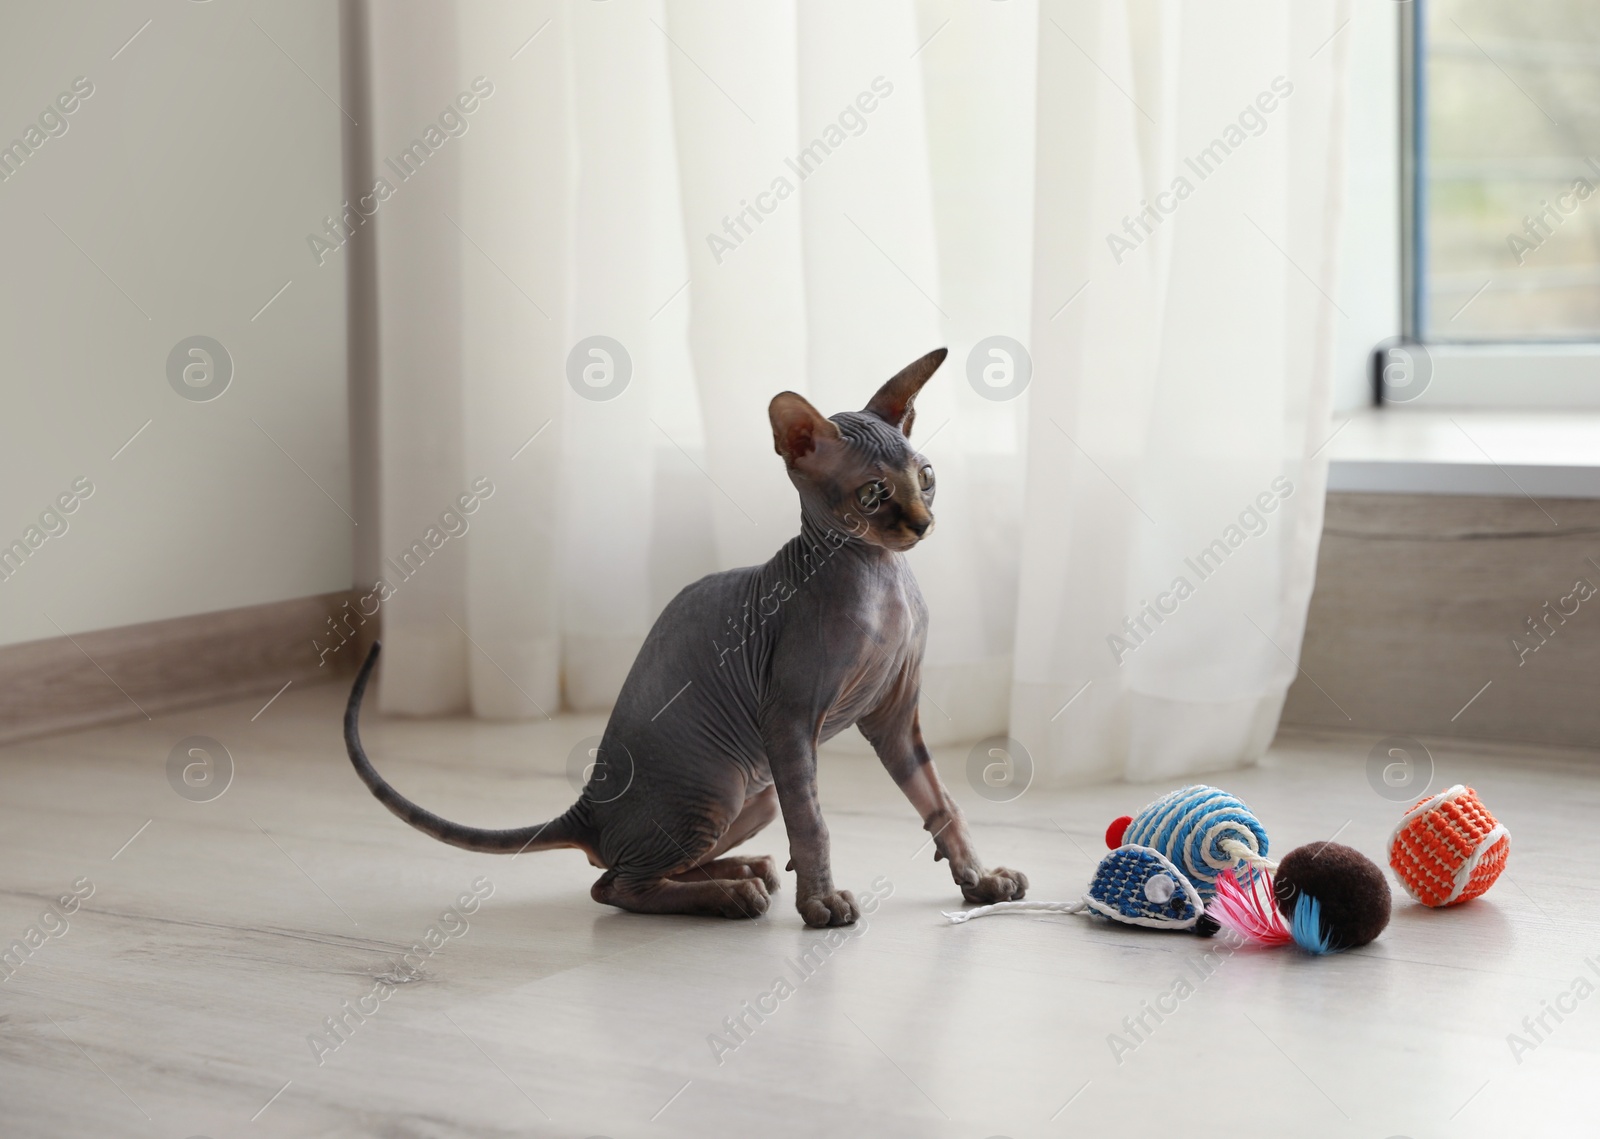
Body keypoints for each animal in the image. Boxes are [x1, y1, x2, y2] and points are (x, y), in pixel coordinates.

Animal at [344, 347, 1030, 927]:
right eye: (873, 493)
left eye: (927, 476)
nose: (922, 522)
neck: (881, 578)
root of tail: (588, 808)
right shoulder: (789, 719)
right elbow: (814, 823)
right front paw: (821, 903)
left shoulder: (893, 715)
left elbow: (941, 802)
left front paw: (980, 880)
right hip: (722, 783)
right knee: (615, 885)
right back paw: (732, 895)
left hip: (757, 791)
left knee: (632, 870)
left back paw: (746, 870)